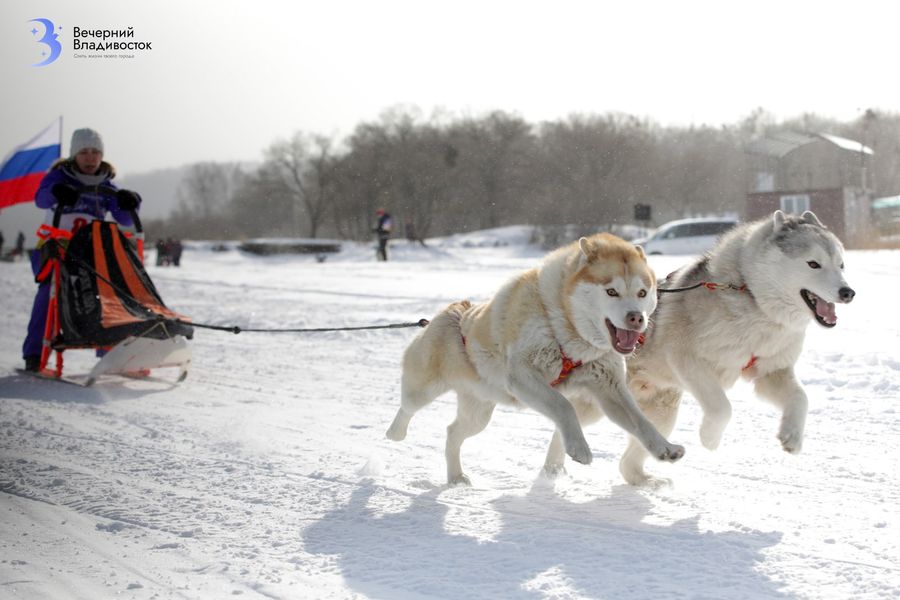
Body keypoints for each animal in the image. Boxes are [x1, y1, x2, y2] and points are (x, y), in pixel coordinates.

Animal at [384, 232, 684, 486]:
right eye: (612, 291)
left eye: (642, 293)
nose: (636, 318)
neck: (565, 328)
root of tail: (454, 310)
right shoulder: (524, 377)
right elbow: (564, 406)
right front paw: (579, 447)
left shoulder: (610, 388)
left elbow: (641, 422)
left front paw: (665, 448)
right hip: (423, 390)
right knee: (407, 408)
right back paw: (394, 433)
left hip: (478, 414)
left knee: (452, 433)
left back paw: (456, 476)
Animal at [620, 213, 856, 486]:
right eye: (813, 264)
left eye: (841, 265)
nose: (848, 292)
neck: (752, 296)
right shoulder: (688, 361)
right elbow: (723, 408)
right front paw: (710, 437)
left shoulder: (771, 372)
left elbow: (801, 398)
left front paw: (792, 436)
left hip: (659, 415)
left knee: (627, 463)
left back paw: (646, 480)